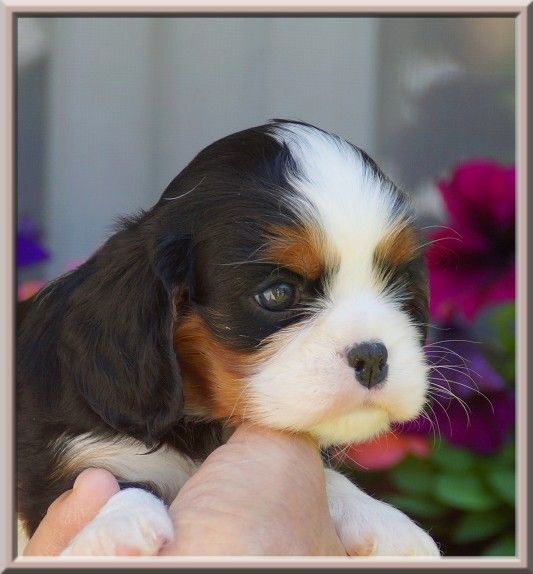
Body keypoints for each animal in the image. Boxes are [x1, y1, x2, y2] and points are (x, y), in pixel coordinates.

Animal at [17, 120, 439, 556]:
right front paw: (119, 527)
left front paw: (386, 523)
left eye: (398, 284)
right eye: (279, 294)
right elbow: (103, 487)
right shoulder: (66, 458)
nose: (372, 358)